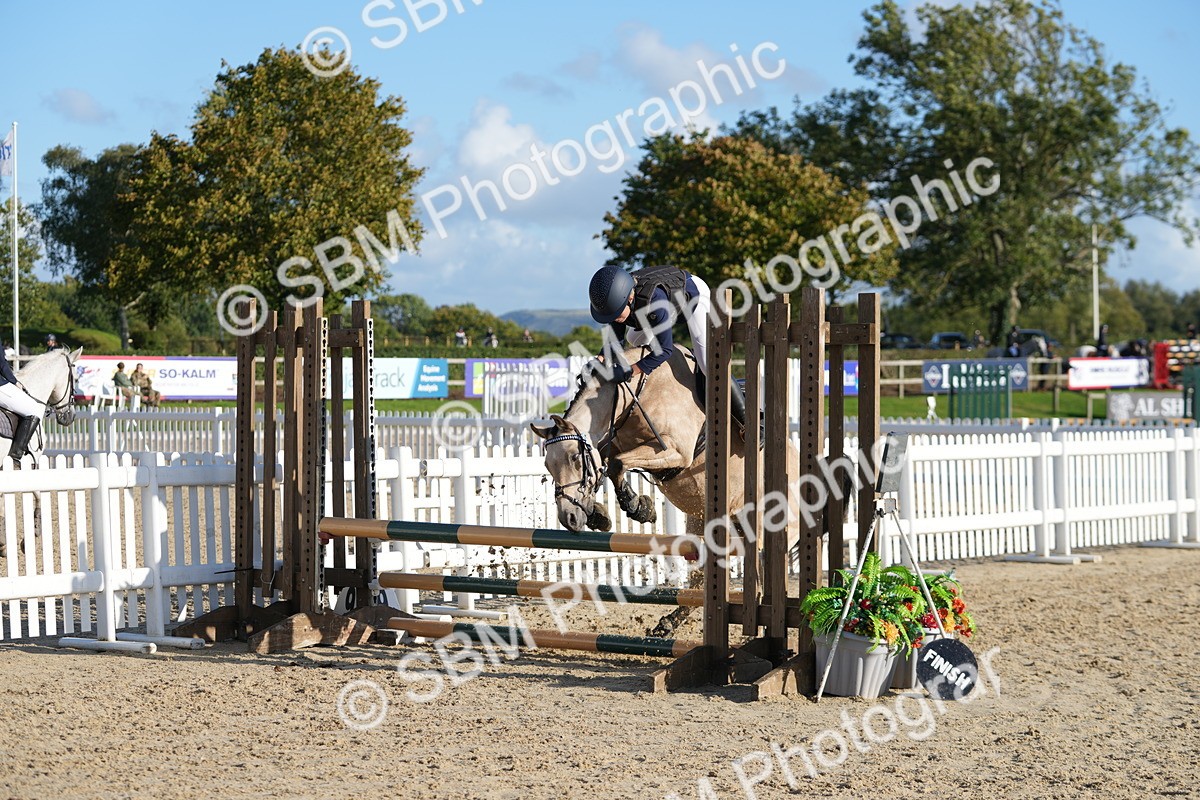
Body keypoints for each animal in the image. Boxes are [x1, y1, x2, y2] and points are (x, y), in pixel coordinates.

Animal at [531, 346, 805, 636]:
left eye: (574, 458)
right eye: (548, 465)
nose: (569, 518)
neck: (632, 397)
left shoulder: (674, 451)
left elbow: (616, 464)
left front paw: (638, 507)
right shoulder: (615, 443)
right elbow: (607, 462)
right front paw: (599, 514)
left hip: (763, 533)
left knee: (761, 584)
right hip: (707, 525)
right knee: (701, 581)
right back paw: (667, 625)